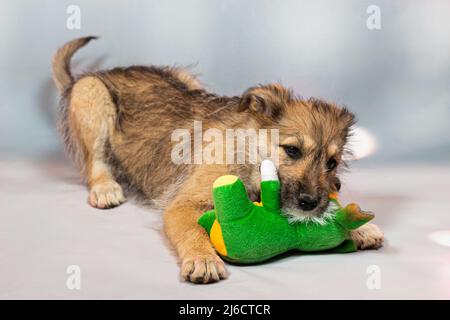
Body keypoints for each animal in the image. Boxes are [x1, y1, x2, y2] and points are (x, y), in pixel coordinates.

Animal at [51, 36, 384, 284]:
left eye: (332, 163)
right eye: (292, 151)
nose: (311, 204)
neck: (250, 153)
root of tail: (103, 72)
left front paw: (360, 227)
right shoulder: (182, 204)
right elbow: (193, 230)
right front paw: (202, 258)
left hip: (187, 80)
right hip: (91, 94)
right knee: (95, 161)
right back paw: (105, 188)